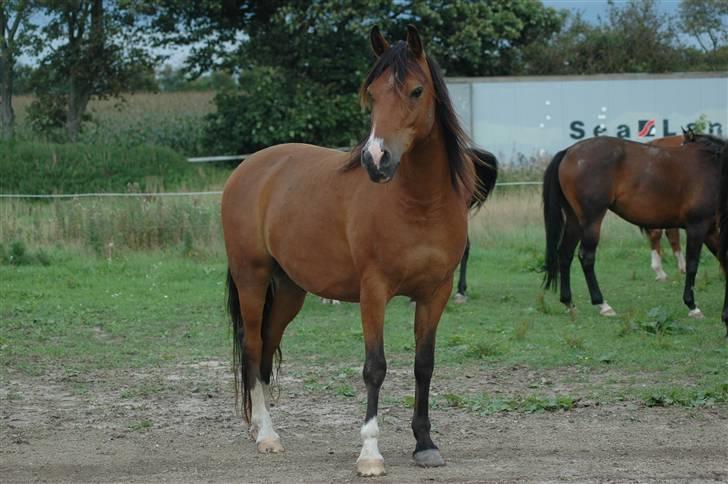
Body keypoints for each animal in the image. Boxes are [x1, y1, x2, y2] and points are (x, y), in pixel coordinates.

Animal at [222, 24, 494, 474]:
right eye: (374, 94)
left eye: (417, 91)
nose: (376, 159)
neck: (419, 203)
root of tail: (249, 167)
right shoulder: (374, 291)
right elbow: (375, 367)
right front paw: (370, 453)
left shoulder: (436, 292)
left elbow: (424, 365)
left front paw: (425, 443)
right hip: (252, 279)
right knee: (253, 345)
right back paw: (267, 436)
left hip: (290, 289)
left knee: (265, 349)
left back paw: (259, 427)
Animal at [540, 133, 728, 336]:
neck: (712, 168)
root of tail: (568, 151)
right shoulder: (697, 227)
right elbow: (692, 266)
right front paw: (692, 306)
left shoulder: (711, 230)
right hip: (591, 220)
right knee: (586, 257)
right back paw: (602, 305)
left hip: (574, 220)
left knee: (565, 255)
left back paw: (569, 303)